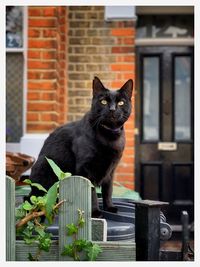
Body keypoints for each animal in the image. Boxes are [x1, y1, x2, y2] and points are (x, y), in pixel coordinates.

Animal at [28, 77, 133, 218]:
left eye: (121, 102)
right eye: (103, 101)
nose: (112, 109)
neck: (109, 136)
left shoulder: (111, 171)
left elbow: (108, 190)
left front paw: (109, 207)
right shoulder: (86, 169)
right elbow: (92, 193)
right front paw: (95, 212)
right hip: (44, 167)